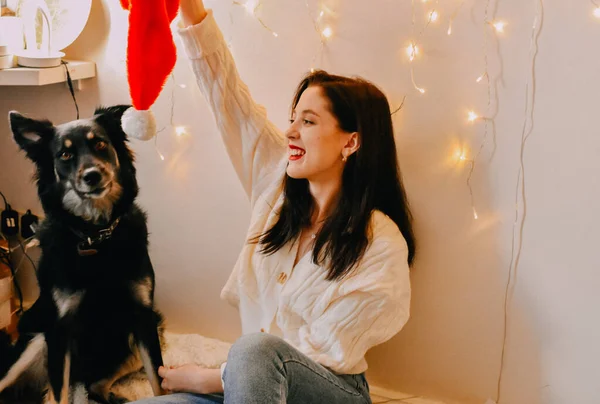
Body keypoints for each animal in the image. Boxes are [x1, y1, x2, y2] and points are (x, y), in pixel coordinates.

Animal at [0, 105, 164, 402]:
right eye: (65, 155)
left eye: (100, 144)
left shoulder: (144, 317)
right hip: (35, 340)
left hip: (150, 327)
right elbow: (59, 395)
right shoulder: (59, 330)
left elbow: (159, 382)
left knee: (95, 386)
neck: (95, 235)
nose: (92, 176)